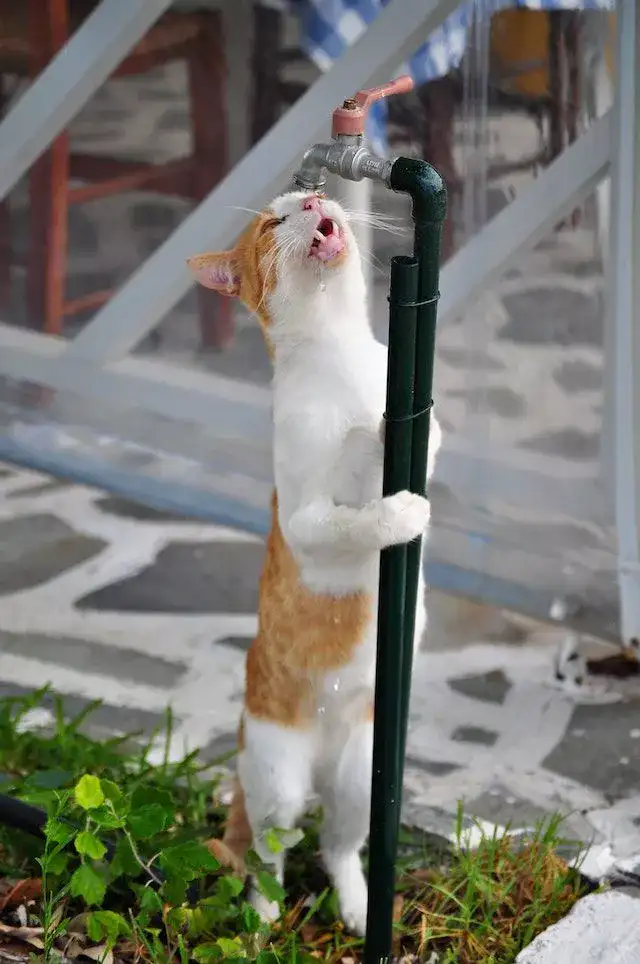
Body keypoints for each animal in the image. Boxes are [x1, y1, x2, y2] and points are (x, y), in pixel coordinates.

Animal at [188, 190, 442, 932]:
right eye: (274, 222)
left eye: (314, 195)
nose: (311, 199)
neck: (341, 354)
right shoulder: (306, 520)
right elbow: (353, 508)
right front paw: (391, 501)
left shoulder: (431, 433)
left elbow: (413, 440)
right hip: (275, 780)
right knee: (270, 854)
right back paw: (262, 919)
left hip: (363, 779)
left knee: (338, 844)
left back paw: (357, 904)